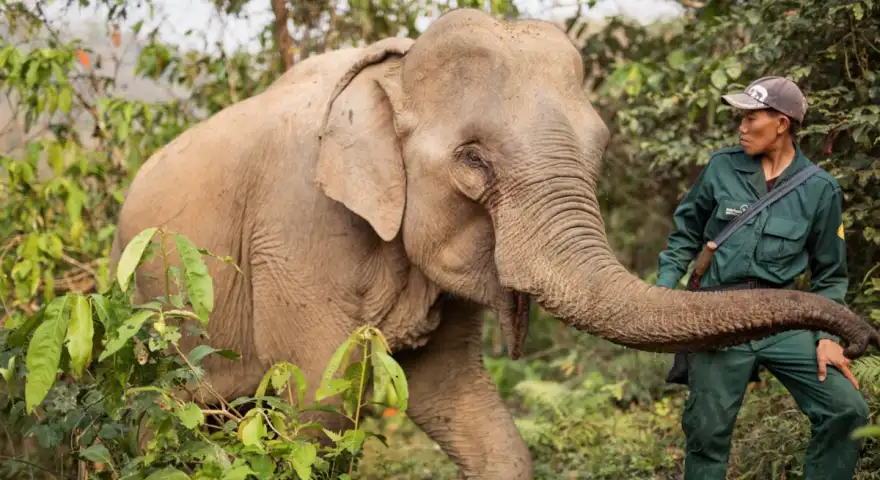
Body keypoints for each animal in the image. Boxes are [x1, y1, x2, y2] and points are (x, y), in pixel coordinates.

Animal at [109, 8, 880, 479]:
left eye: (600, 148)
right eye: (474, 161)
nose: (862, 336)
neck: (394, 71)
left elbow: (458, 397)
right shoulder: (294, 228)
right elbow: (319, 405)